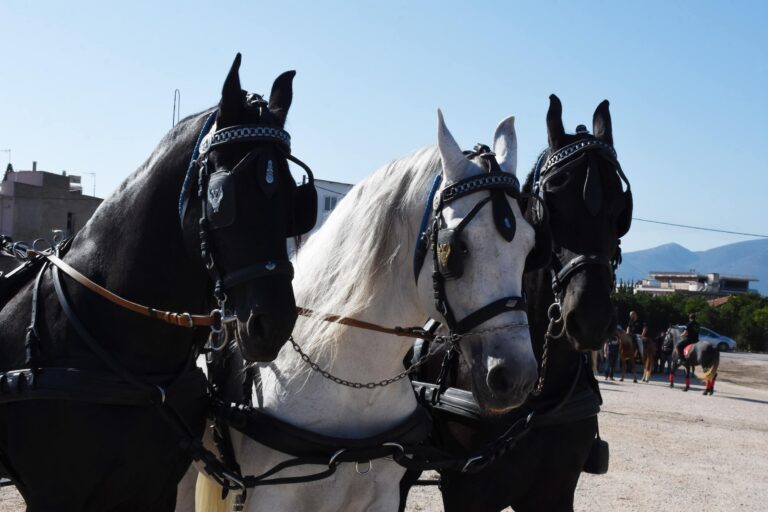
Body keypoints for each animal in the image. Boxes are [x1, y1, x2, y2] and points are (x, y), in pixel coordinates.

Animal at [191, 111, 540, 512]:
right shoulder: (269, 497)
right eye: (456, 247)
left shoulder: (384, 496)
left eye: (530, 245)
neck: (352, 385)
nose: (516, 377)